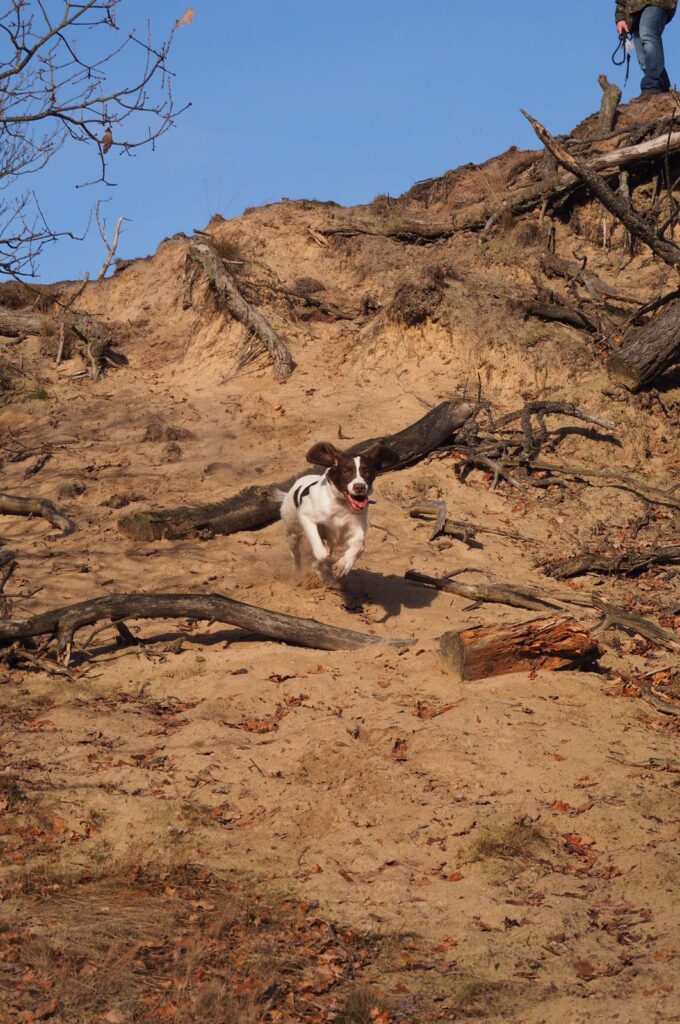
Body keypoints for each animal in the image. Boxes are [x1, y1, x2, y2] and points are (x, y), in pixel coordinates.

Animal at [278, 440, 401, 581]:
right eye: (346, 471)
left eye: (367, 472)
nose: (360, 487)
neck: (341, 505)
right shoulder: (307, 517)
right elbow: (322, 553)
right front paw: (319, 565)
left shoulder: (355, 531)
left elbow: (359, 544)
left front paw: (343, 565)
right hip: (293, 529)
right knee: (295, 552)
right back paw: (298, 571)